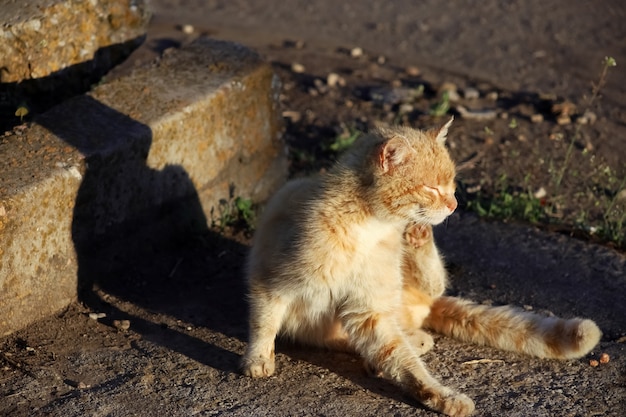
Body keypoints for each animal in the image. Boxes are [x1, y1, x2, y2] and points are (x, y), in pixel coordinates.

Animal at [240, 118, 600, 416]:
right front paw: (258, 360)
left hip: (403, 292)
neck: (369, 227)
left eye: (452, 185)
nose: (454, 204)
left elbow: (409, 367)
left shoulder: (369, 312)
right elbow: (263, 324)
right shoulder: (272, 283)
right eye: (431, 188)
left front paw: (441, 397)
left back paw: (418, 248)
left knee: (433, 287)